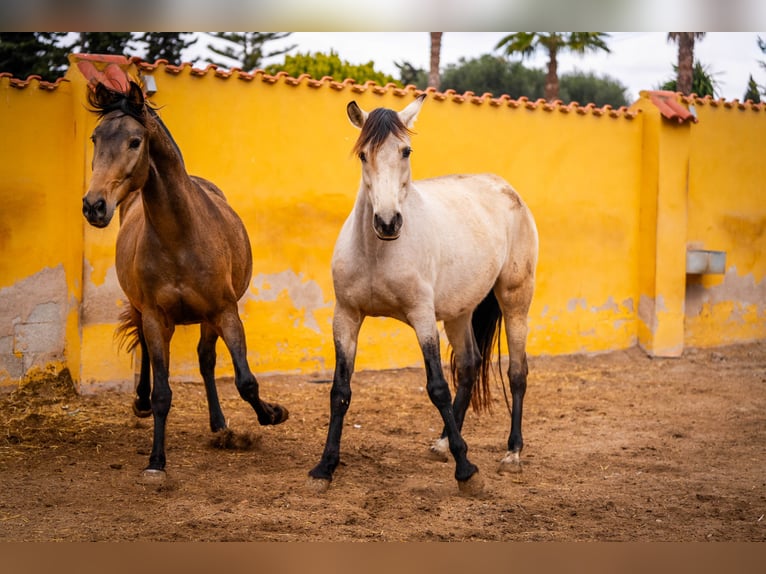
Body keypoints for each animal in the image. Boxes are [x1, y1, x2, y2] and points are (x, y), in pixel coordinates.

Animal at [82, 81, 289, 482]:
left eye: (134, 141)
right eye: (95, 138)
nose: (94, 205)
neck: (180, 236)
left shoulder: (225, 311)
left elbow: (245, 379)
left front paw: (272, 414)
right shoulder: (155, 317)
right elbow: (163, 393)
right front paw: (156, 460)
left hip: (208, 319)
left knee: (206, 361)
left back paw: (219, 423)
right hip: (144, 311)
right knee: (147, 354)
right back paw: (141, 402)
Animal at [308, 94, 538, 495]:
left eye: (406, 151)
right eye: (363, 154)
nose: (387, 222)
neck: (378, 252)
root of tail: (507, 190)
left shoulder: (422, 316)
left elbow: (437, 387)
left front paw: (467, 472)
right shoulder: (346, 316)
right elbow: (340, 391)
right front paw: (325, 467)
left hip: (515, 302)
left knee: (517, 373)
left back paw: (512, 454)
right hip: (460, 312)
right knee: (469, 365)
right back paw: (445, 442)